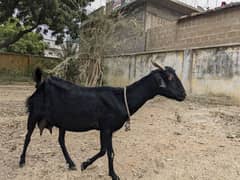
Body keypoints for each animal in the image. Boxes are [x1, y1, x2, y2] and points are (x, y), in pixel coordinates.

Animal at [19, 61, 187, 179]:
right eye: (169, 77)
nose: (183, 95)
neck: (122, 99)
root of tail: (41, 84)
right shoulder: (105, 128)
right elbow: (106, 151)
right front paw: (99, 169)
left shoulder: (109, 130)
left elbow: (107, 151)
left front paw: (96, 168)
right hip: (34, 114)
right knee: (27, 137)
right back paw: (22, 161)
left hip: (62, 121)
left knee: (61, 140)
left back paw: (71, 163)